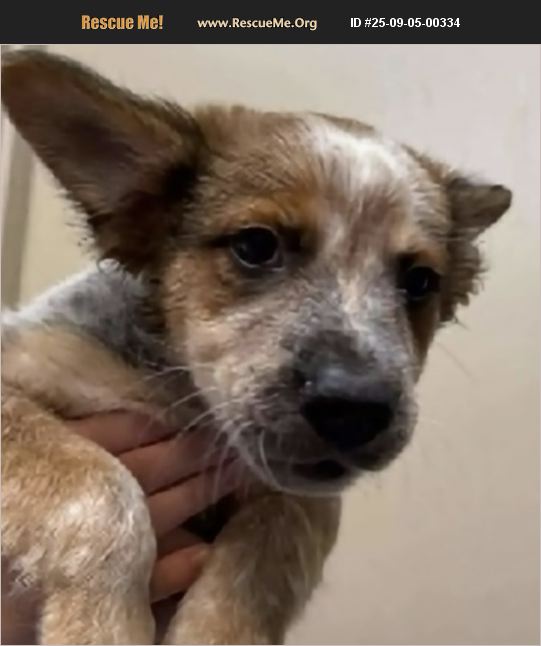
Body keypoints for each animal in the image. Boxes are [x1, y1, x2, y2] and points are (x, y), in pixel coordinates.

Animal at [1, 49, 512, 645]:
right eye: (256, 246)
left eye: (420, 282)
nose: (356, 409)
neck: (179, 396)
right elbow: (103, 490)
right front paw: (100, 627)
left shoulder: (305, 498)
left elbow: (268, 547)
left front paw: (216, 631)